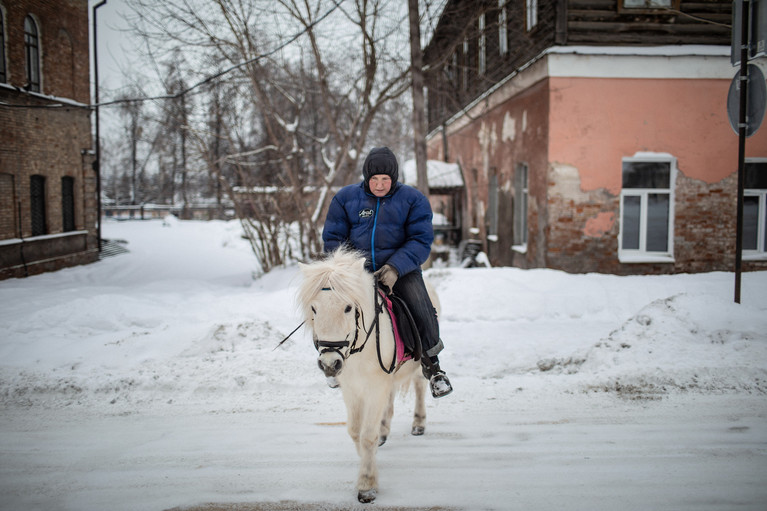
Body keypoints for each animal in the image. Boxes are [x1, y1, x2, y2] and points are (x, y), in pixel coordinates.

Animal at [296, 248, 436, 504]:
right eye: (314, 309)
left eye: (348, 308)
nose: (330, 364)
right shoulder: (353, 389)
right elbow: (355, 432)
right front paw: (368, 463)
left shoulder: (375, 386)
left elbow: (367, 435)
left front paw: (367, 485)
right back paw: (385, 430)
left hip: (418, 366)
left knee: (421, 386)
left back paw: (419, 423)